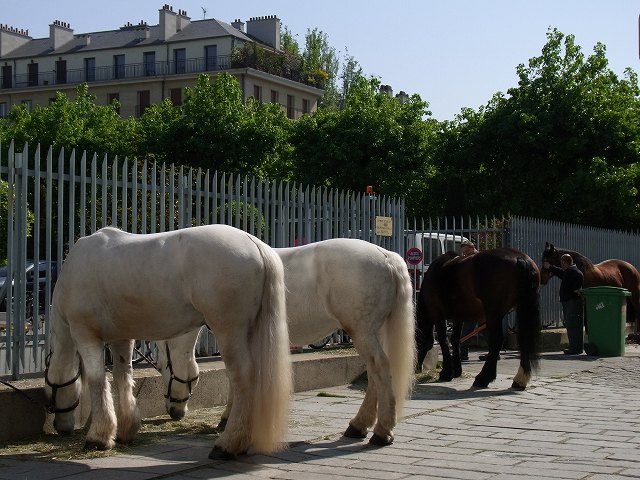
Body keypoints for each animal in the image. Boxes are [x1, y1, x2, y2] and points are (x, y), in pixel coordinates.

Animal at [44, 225, 292, 458]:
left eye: (49, 389)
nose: (60, 427)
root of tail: (255, 245)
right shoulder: (122, 337)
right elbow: (122, 376)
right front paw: (125, 430)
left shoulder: (85, 334)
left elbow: (97, 381)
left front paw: (98, 437)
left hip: (230, 332)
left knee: (243, 378)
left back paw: (228, 444)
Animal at [158, 239, 418, 446]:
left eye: (162, 367)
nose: (175, 412)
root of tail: (387, 256)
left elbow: (236, 377)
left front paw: (228, 419)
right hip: (374, 332)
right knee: (376, 375)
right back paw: (359, 426)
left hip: (363, 332)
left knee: (380, 369)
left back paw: (381, 433)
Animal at [416, 248, 540, 390]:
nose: (416, 368)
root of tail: (519, 257)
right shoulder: (458, 317)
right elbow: (455, 340)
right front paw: (457, 370)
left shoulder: (437, 314)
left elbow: (443, 340)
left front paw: (446, 373)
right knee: (524, 339)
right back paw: (520, 380)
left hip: (493, 314)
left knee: (496, 341)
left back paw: (483, 378)